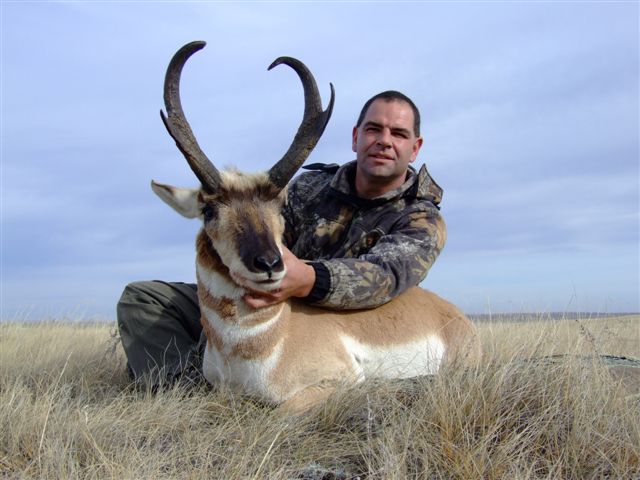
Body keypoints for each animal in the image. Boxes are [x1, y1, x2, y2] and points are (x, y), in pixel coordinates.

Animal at [151, 41, 480, 412]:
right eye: (208, 210)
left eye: (279, 205)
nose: (268, 263)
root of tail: (454, 314)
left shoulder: (337, 382)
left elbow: (284, 410)